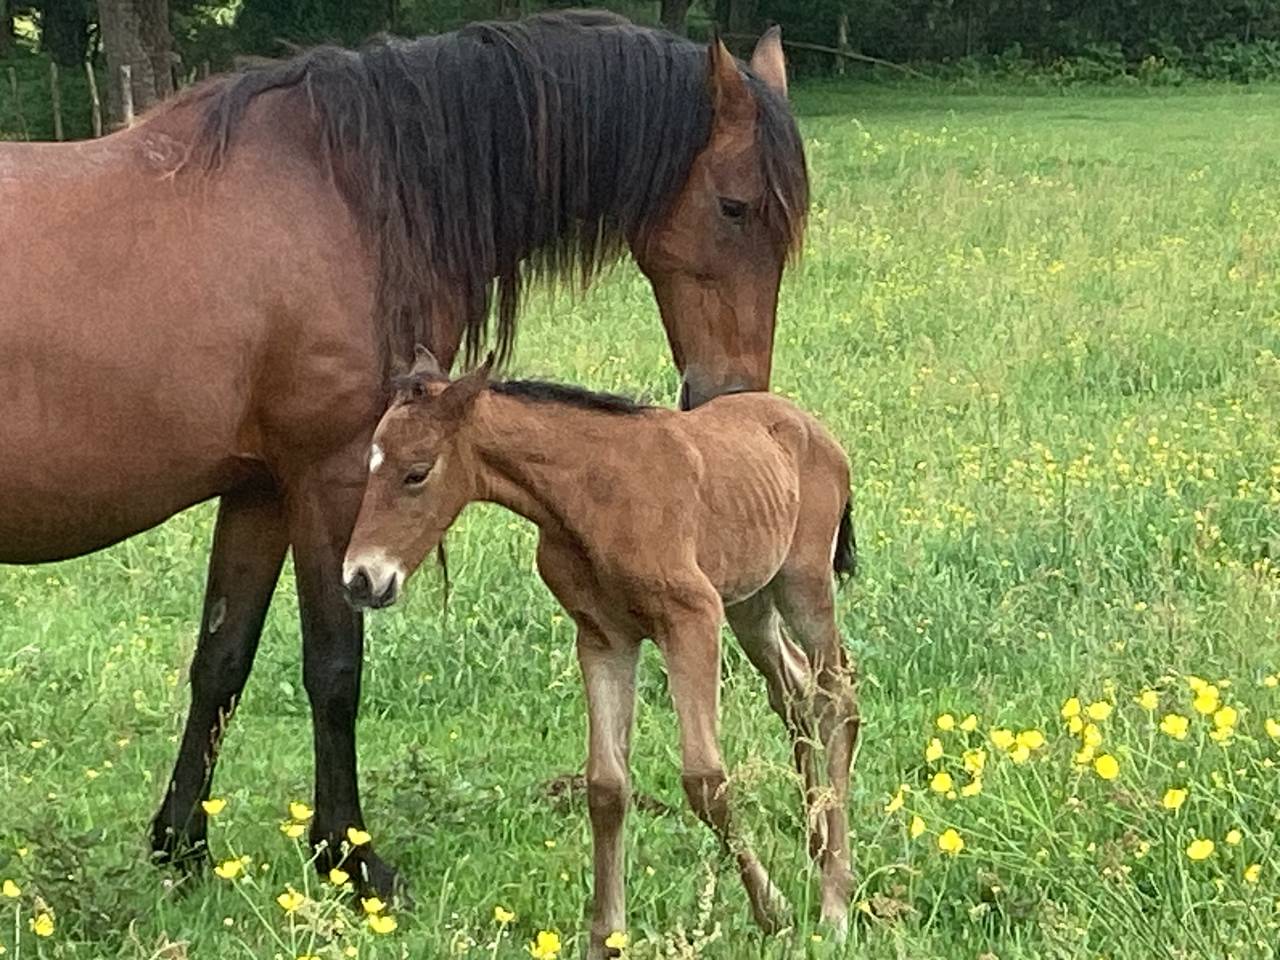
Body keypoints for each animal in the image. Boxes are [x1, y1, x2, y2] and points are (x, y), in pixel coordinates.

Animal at [0, 12, 807, 893]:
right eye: (734, 207)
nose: (733, 393)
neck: (344, 196)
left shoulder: (259, 491)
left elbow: (221, 662)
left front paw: (182, 846)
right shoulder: (333, 476)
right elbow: (333, 668)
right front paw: (350, 858)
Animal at [342, 350, 859, 952]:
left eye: (417, 472)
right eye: (370, 464)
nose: (360, 580)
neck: (591, 496)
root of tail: (814, 429)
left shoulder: (691, 620)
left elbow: (705, 780)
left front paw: (773, 911)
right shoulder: (603, 639)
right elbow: (606, 787)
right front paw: (606, 937)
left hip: (802, 585)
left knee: (836, 697)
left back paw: (835, 897)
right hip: (751, 602)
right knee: (795, 692)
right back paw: (817, 843)